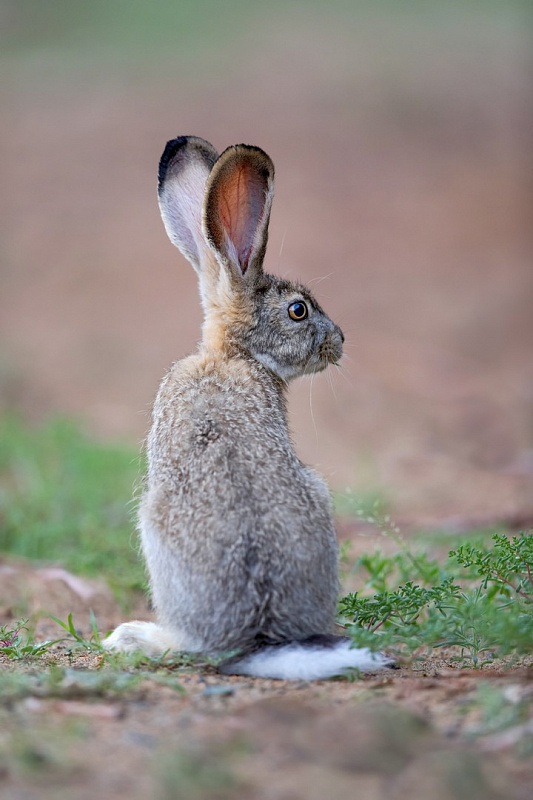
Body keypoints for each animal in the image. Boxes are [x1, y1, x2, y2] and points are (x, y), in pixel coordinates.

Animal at [103, 136, 394, 679]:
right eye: (298, 311)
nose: (340, 341)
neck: (233, 355)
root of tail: (260, 637)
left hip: (152, 529)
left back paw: (134, 637)